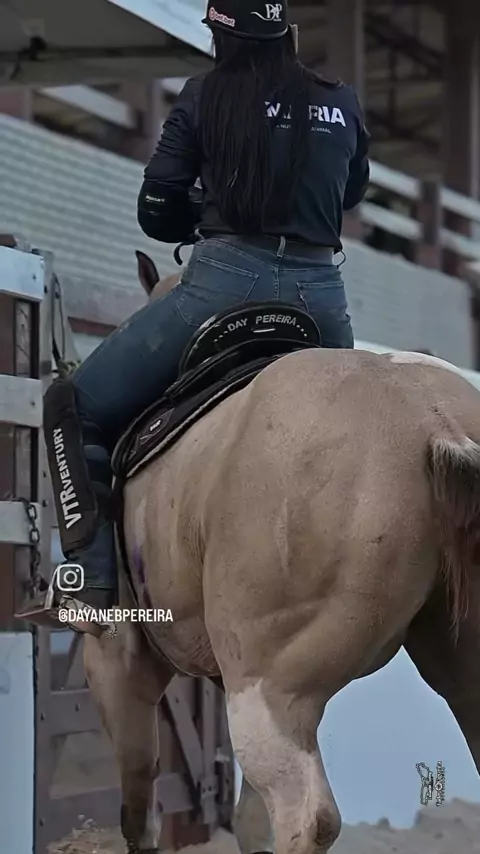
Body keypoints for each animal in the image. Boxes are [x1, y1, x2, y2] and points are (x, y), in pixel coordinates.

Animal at [83, 250, 480, 854]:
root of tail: (433, 420)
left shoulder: (119, 659)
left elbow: (138, 810)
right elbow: (247, 821)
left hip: (272, 692)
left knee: (306, 816)